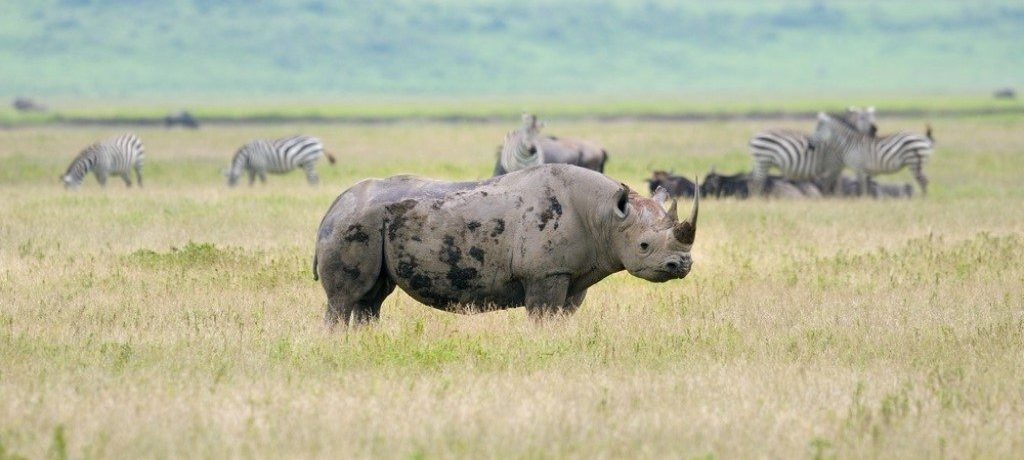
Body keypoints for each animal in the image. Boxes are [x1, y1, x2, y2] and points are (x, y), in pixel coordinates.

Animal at [806, 112, 937, 196]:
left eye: (818, 130)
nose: (809, 145)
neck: (849, 144)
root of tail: (925, 138)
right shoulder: (863, 169)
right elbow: (865, 185)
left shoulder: (858, 167)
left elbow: (861, 186)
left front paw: (862, 200)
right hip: (916, 163)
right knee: (924, 181)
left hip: (914, 162)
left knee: (923, 181)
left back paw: (923, 200)